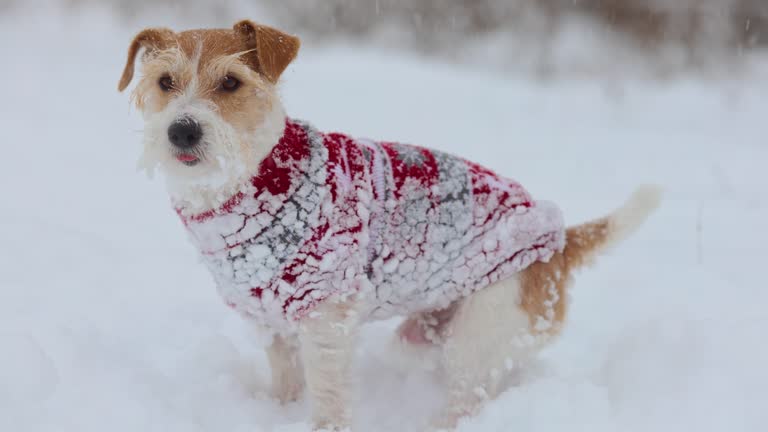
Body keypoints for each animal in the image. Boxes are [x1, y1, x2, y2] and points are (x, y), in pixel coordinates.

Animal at [118, 21, 660, 432]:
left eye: (230, 82)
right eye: (165, 82)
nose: (182, 130)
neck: (252, 178)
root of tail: (560, 241)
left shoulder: (326, 320)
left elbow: (329, 395)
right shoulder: (270, 318)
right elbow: (285, 379)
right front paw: (279, 412)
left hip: (480, 330)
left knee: (467, 400)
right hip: (425, 334)